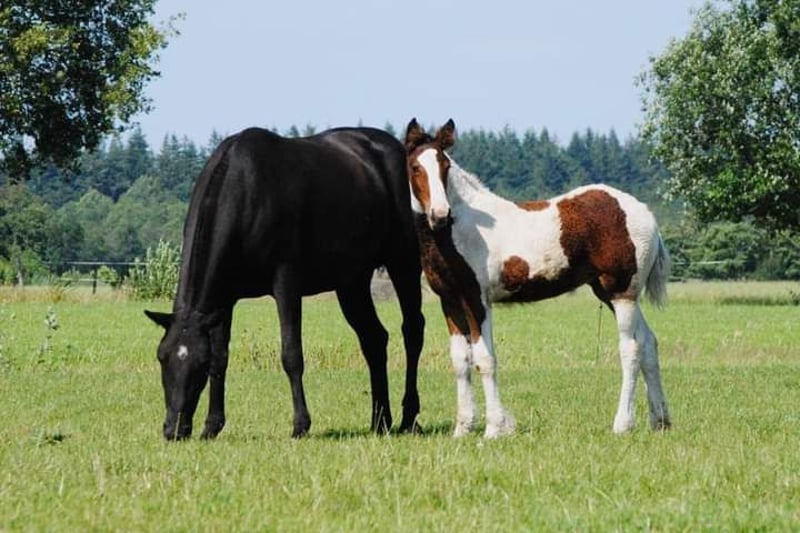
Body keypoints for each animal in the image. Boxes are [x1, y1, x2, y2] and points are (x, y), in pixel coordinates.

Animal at [145, 126, 425, 440]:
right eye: (162, 357)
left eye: (198, 366)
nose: (174, 429)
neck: (245, 188)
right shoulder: (223, 299)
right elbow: (221, 357)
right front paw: (212, 425)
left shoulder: (286, 284)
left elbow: (291, 354)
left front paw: (300, 424)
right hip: (352, 281)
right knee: (374, 339)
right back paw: (380, 420)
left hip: (403, 262)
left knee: (412, 330)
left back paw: (408, 417)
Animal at [404, 118, 671, 438]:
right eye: (415, 167)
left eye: (444, 165)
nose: (440, 214)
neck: (457, 232)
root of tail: (647, 214)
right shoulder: (451, 301)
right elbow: (460, 361)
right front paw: (463, 429)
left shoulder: (478, 300)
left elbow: (485, 359)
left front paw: (494, 428)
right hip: (611, 293)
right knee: (649, 343)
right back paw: (660, 421)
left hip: (621, 293)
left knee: (631, 349)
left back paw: (622, 423)